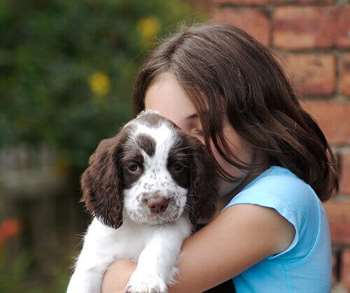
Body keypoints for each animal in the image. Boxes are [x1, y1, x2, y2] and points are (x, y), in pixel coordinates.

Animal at [67, 110, 217, 292]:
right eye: (133, 167)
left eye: (178, 167)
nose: (158, 203)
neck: (136, 227)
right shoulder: (95, 254)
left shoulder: (175, 226)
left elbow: (159, 245)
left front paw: (146, 281)